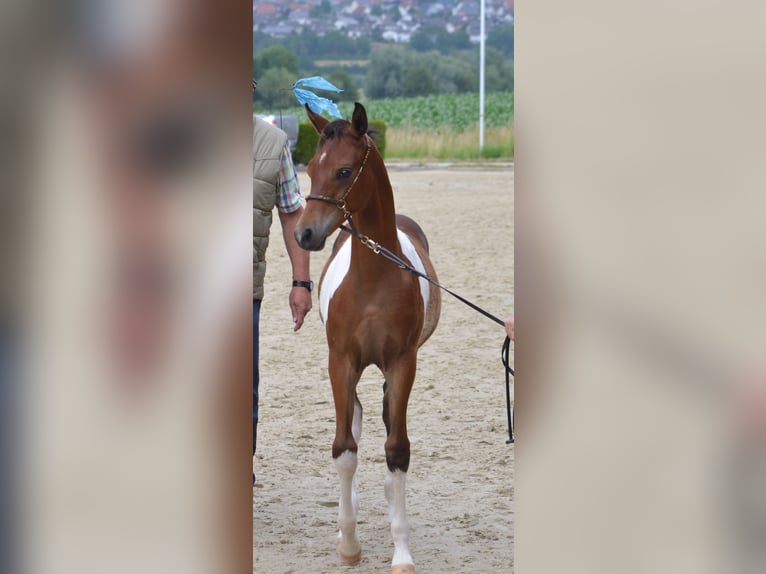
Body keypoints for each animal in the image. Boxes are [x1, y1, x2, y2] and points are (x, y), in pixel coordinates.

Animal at [294, 103, 441, 573]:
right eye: (309, 168)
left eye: (343, 170)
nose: (304, 233)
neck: (375, 278)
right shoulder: (340, 361)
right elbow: (344, 448)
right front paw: (348, 543)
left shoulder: (402, 363)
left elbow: (397, 450)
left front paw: (402, 552)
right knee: (355, 422)